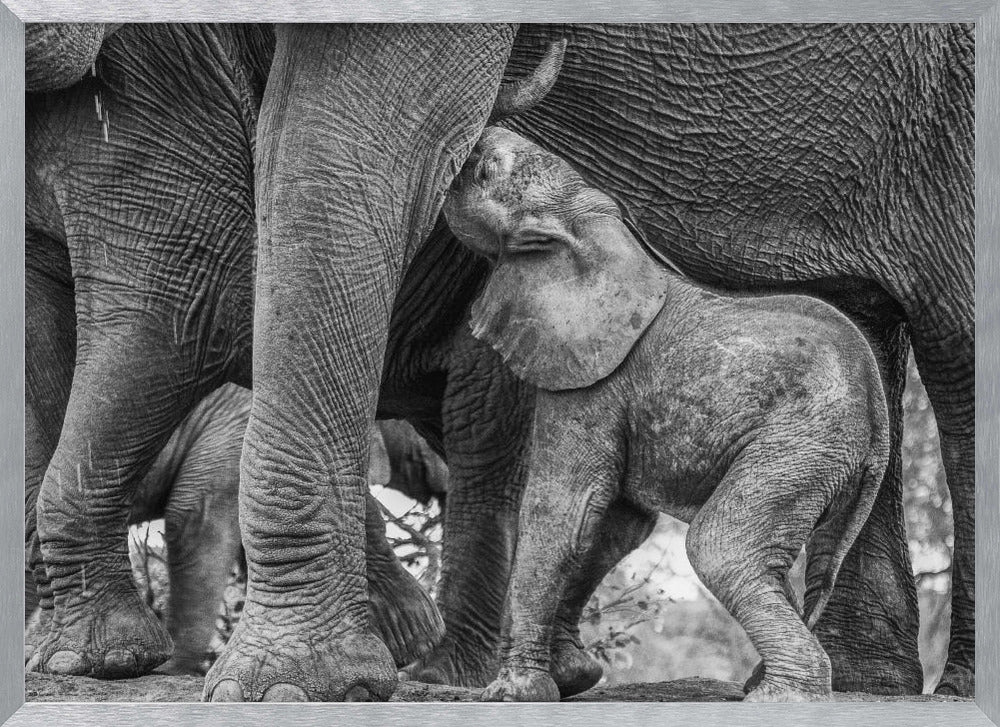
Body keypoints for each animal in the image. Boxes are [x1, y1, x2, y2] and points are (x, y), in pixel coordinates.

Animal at [443, 126, 891, 702]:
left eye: (486, 170)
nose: (479, 136)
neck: (595, 225)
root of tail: (878, 415)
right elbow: (614, 524)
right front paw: (573, 678)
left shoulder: (595, 380)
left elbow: (563, 511)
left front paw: (512, 694)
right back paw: (761, 685)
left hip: (801, 443)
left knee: (720, 546)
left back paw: (777, 697)